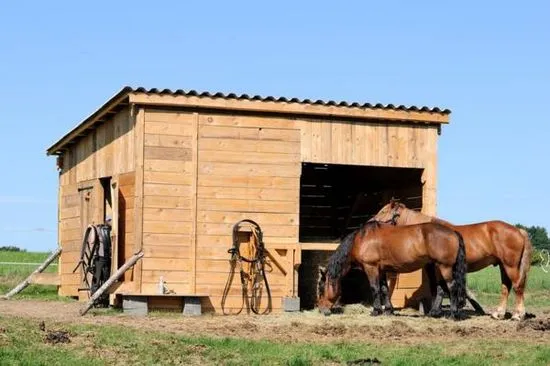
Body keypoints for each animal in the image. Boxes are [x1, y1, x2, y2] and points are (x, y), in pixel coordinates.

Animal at [316, 220, 468, 320]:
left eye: (321, 289)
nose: (322, 310)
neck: (361, 239)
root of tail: (453, 232)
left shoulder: (371, 267)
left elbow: (375, 288)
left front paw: (376, 311)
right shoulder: (381, 270)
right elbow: (384, 289)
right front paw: (389, 310)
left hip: (444, 267)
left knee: (452, 287)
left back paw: (453, 314)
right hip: (436, 267)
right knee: (441, 288)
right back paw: (434, 313)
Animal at [374, 200, 532, 320]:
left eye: (383, 211)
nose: (371, 221)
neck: (425, 233)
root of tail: (519, 230)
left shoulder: (438, 267)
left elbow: (439, 288)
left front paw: (436, 311)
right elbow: (439, 288)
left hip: (510, 265)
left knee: (518, 286)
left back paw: (518, 315)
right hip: (502, 265)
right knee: (506, 287)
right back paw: (498, 314)